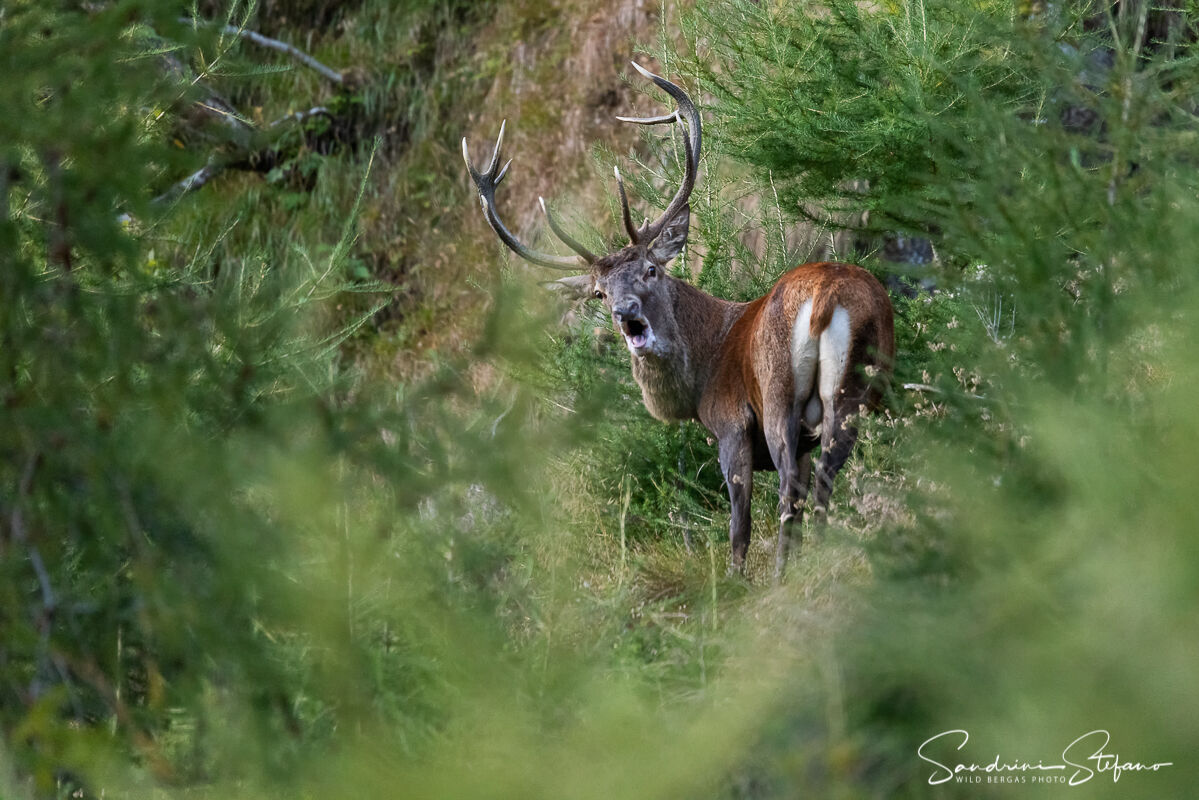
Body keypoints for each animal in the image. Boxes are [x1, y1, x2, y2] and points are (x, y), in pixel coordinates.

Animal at [462, 63, 895, 578]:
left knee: (787, 486)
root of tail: (828, 296)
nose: (625, 312)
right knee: (832, 472)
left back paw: (778, 575)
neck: (704, 372)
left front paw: (734, 579)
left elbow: (739, 523)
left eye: (651, 269)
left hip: (778, 393)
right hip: (862, 387)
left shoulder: (730, 423)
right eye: (599, 292)